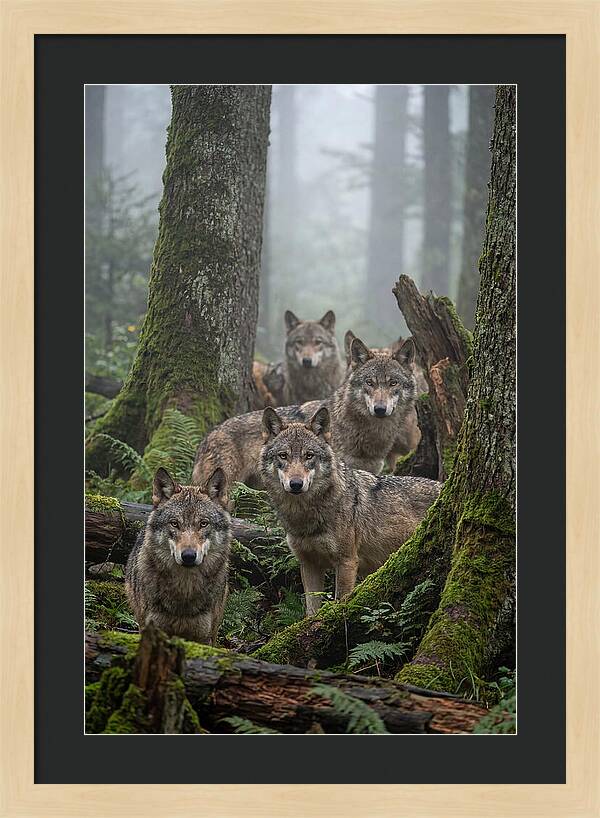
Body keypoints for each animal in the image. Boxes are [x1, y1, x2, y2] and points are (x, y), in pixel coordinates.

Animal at [260, 406, 441, 615]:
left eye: (309, 456)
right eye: (283, 455)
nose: (296, 484)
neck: (304, 516)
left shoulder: (347, 562)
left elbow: (340, 602)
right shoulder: (309, 564)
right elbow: (311, 610)